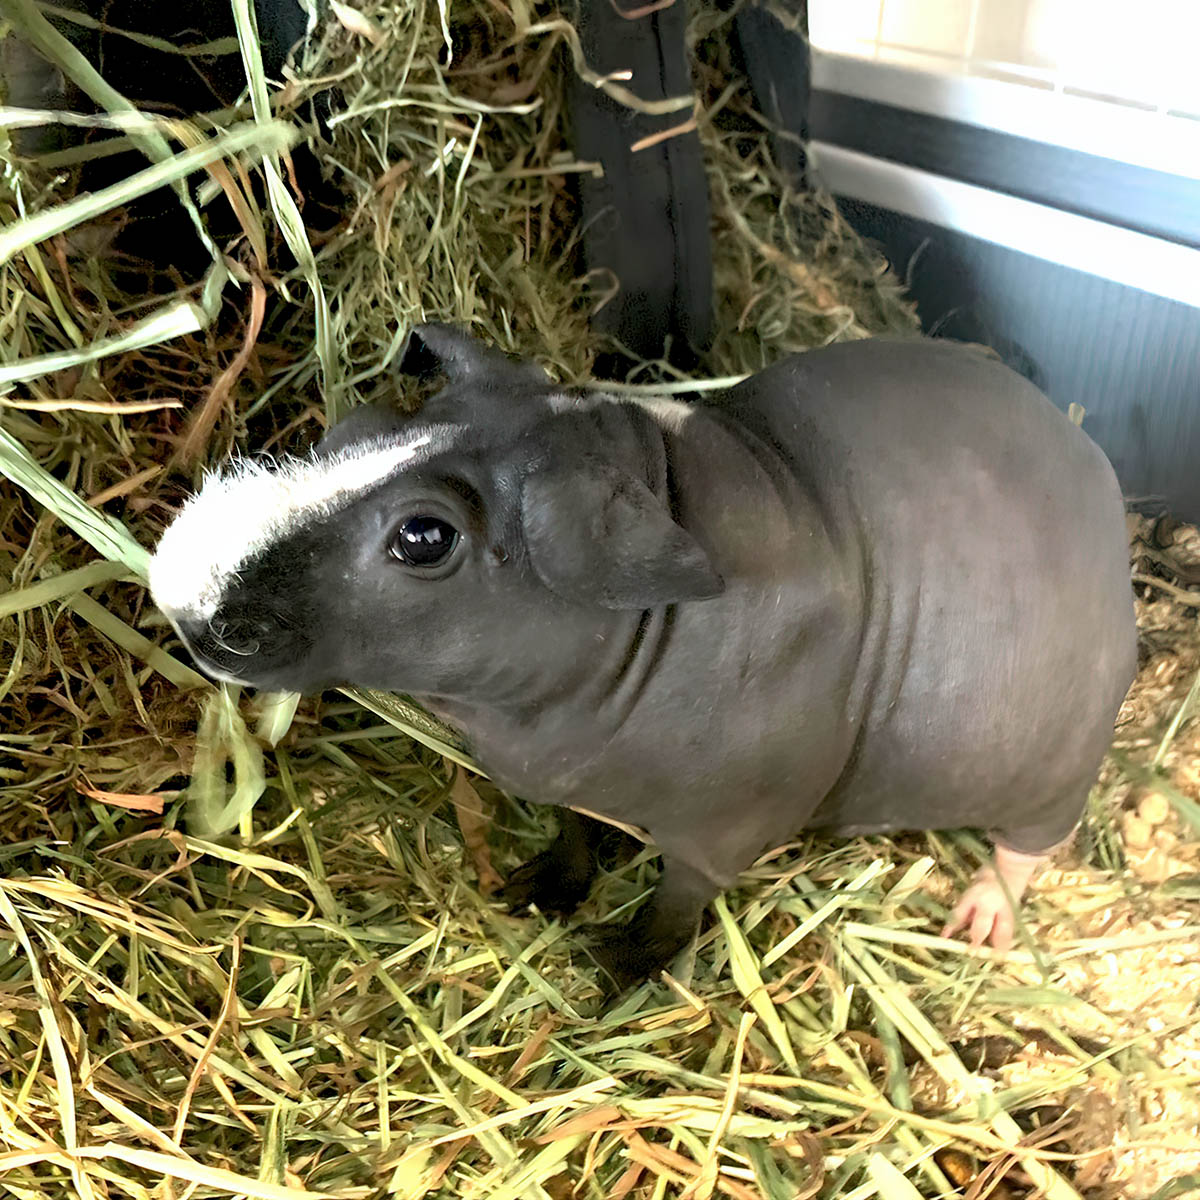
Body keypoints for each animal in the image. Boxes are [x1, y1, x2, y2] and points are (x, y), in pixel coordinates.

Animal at [149, 325, 1137, 988]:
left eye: (424, 537)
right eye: (350, 426)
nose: (175, 591)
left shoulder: (720, 836)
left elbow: (676, 903)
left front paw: (613, 968)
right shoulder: (564, 785)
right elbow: (573, 832)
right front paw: (533, 894)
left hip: (1049, 781)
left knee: (1029, 849)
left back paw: (980, 921)